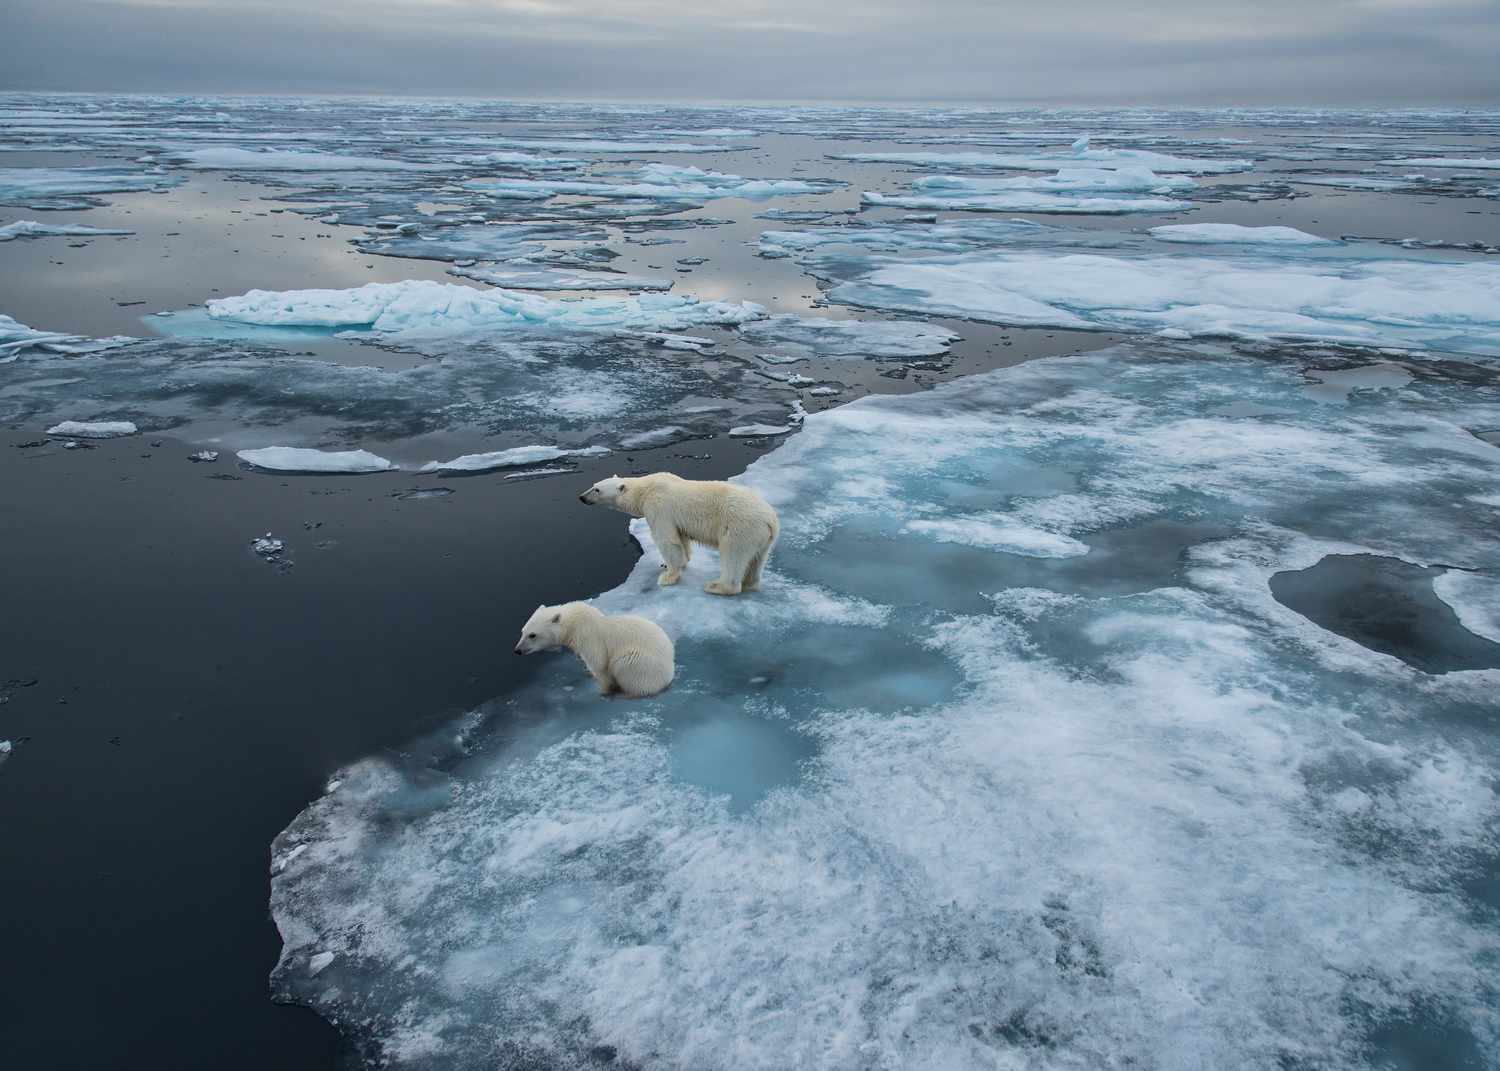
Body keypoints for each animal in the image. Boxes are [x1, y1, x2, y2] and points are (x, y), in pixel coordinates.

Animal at [519, 597, 678, 696]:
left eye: (532, 635)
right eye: (523, 631)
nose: (517, 650)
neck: (576, 624)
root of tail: (669, 675)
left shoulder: (590, 638)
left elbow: (599, 664)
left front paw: (603, 691)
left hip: (641, 664)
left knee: (624, 665)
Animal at [579, 471, 780, 597]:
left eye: (597, 490)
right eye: (593, 485)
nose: (581, 497)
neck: (644, 490)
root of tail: (771, 520)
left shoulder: (658, 507)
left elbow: (667, 540)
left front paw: (668, 576)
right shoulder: (675, 519)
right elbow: (681, 539)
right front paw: (671, 563)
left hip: (740, 527)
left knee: (733, 555)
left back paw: (716, 586)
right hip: (763, 537)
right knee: (757, 559)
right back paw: (750, 583)